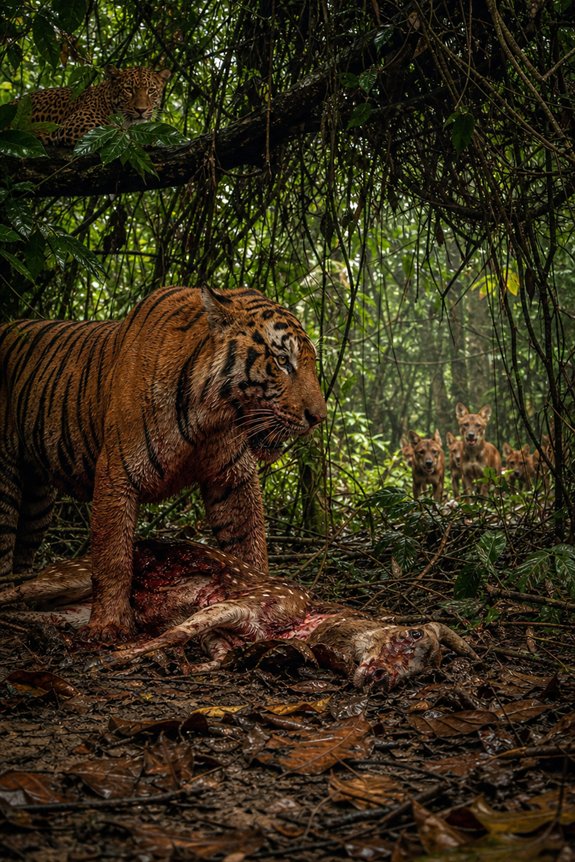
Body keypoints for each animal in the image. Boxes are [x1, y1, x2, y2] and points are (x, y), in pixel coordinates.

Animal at [0, 286, 327, 642]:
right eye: (282, 361)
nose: (319, 418)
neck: (210, 417)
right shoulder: (117, 473)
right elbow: (112, 556)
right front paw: (109, 625)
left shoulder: (232, 478)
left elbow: (248, 542)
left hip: (38, 501)